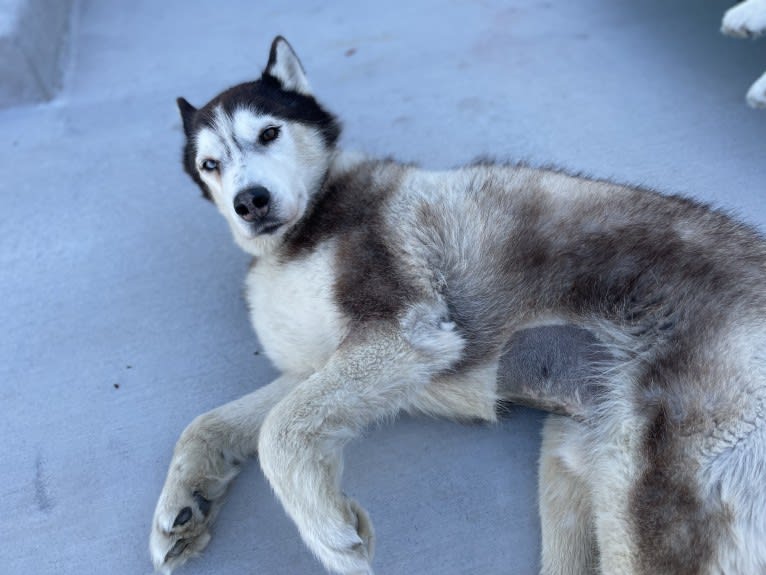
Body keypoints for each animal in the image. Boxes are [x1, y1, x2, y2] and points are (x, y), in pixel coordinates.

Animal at [150, 37, 766, 575]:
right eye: (210, 164)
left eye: (269, 133)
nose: (249, 202)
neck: (300, 233)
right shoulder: (320, 366)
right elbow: (211, 424)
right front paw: (184, 503)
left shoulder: (404, 332)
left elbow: (277, 434)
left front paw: (328, 531)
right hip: (576, 466)